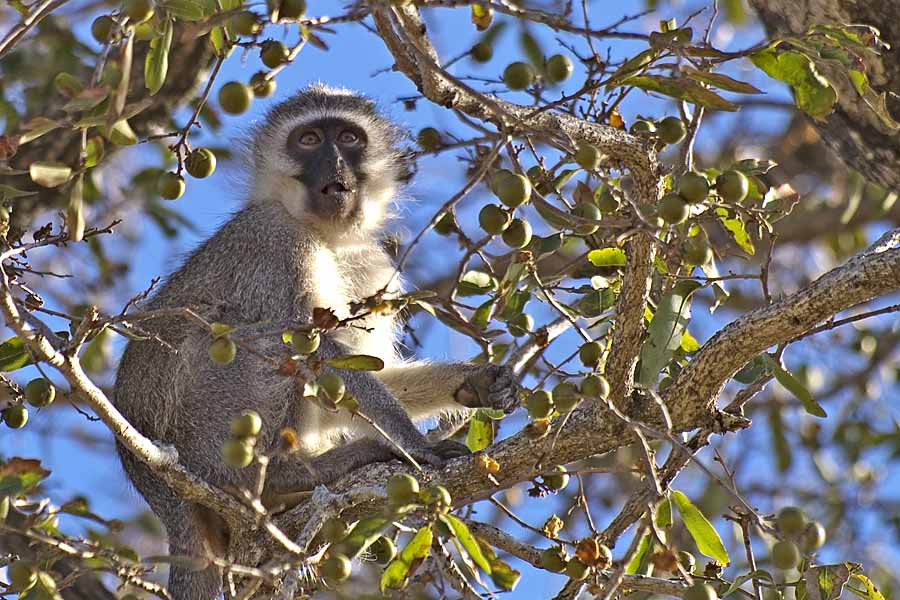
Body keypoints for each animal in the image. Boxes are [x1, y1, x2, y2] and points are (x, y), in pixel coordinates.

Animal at [116, 85, 516, 600]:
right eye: (308, 140)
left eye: (348, 138)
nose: (334, 163)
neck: (325, 237)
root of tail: (160, 491)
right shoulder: (275, 240)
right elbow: (312, 350)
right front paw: (413, 445)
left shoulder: (372, 265)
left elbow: (364, 366)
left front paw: (476, 383)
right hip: (204, 435)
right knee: (256, 339)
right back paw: (277, 481)